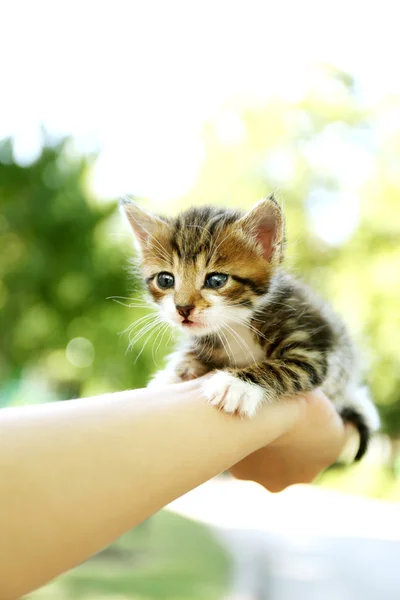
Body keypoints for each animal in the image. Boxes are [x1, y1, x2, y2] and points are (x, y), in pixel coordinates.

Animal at [120, 195, 380, 458]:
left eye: (216, 280)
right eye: (165, 280)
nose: (182, 308)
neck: (237, 324)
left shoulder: (311, 346)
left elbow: (284, 367)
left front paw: (236, 384)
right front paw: (174, 374)